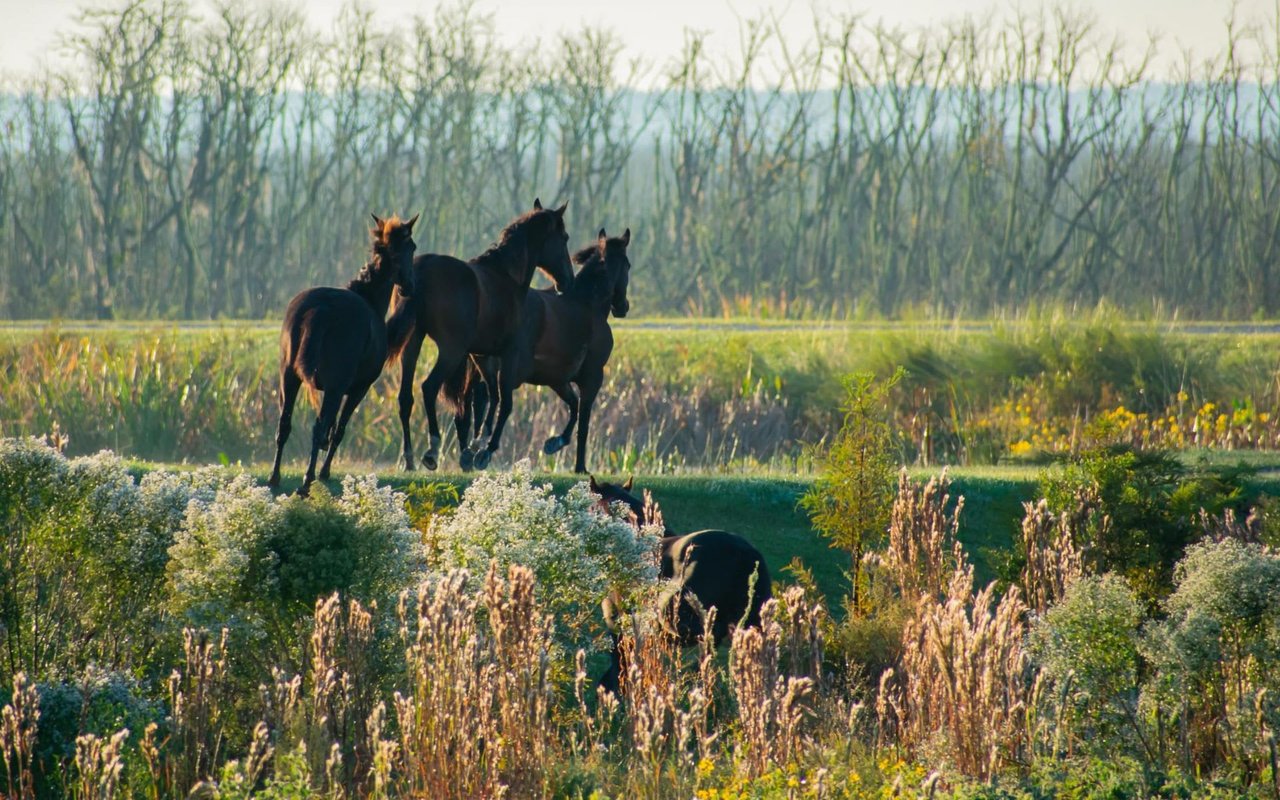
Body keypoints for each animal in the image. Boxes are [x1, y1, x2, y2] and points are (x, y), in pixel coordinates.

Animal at [270, 212, 419, 494]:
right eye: (412, 247)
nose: (409, 286)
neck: (370, 300)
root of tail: (321, 309)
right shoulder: (357, 388)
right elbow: (338, 429)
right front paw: (325, 471)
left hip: (289, 376)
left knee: (284, 424)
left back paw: (275, 478)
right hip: (335, 385)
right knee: (318, 426)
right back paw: (307, 480)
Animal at [384, 199, 576, 471]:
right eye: (564, 237)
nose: (567, 281)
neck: (506, 278)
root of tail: (420, 272)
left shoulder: (482, 355)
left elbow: (491, 398)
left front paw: (477, 443)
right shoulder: (508, 354)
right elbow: (505, 403)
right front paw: (484, 451)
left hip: (413, 344)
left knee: (405, 399)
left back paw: (409, 459)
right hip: (450, 352)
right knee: (429, 388)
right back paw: (432, 450)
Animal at [448, 227, 632, 471]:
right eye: (628, 265)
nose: (623, 307)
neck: (587, 305)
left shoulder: (557, 380)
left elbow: (573, 406)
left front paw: (555, 442)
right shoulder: (593, 377)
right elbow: (583, 421)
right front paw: (580, 466)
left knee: (470, 405)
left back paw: (469, 452)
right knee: (492, 402)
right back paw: (482, 450)